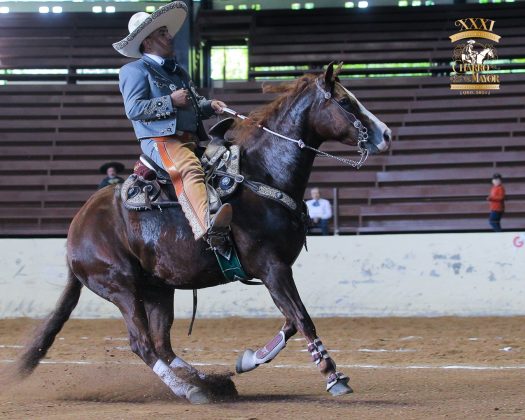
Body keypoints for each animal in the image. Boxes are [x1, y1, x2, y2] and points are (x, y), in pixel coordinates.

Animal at [13, 65, 388, 404]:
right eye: (345, 101)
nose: (385, 134)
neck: (262, 174)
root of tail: (77, 228)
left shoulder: (276, 271)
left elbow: (290, 322)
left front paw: (248, 360)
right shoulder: (272, 267)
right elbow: (302, 319)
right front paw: (333, 376)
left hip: (158, 289)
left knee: (162, 345)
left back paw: (209, 382)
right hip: (121, 288)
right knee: (143, 344)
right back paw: (189, 389)